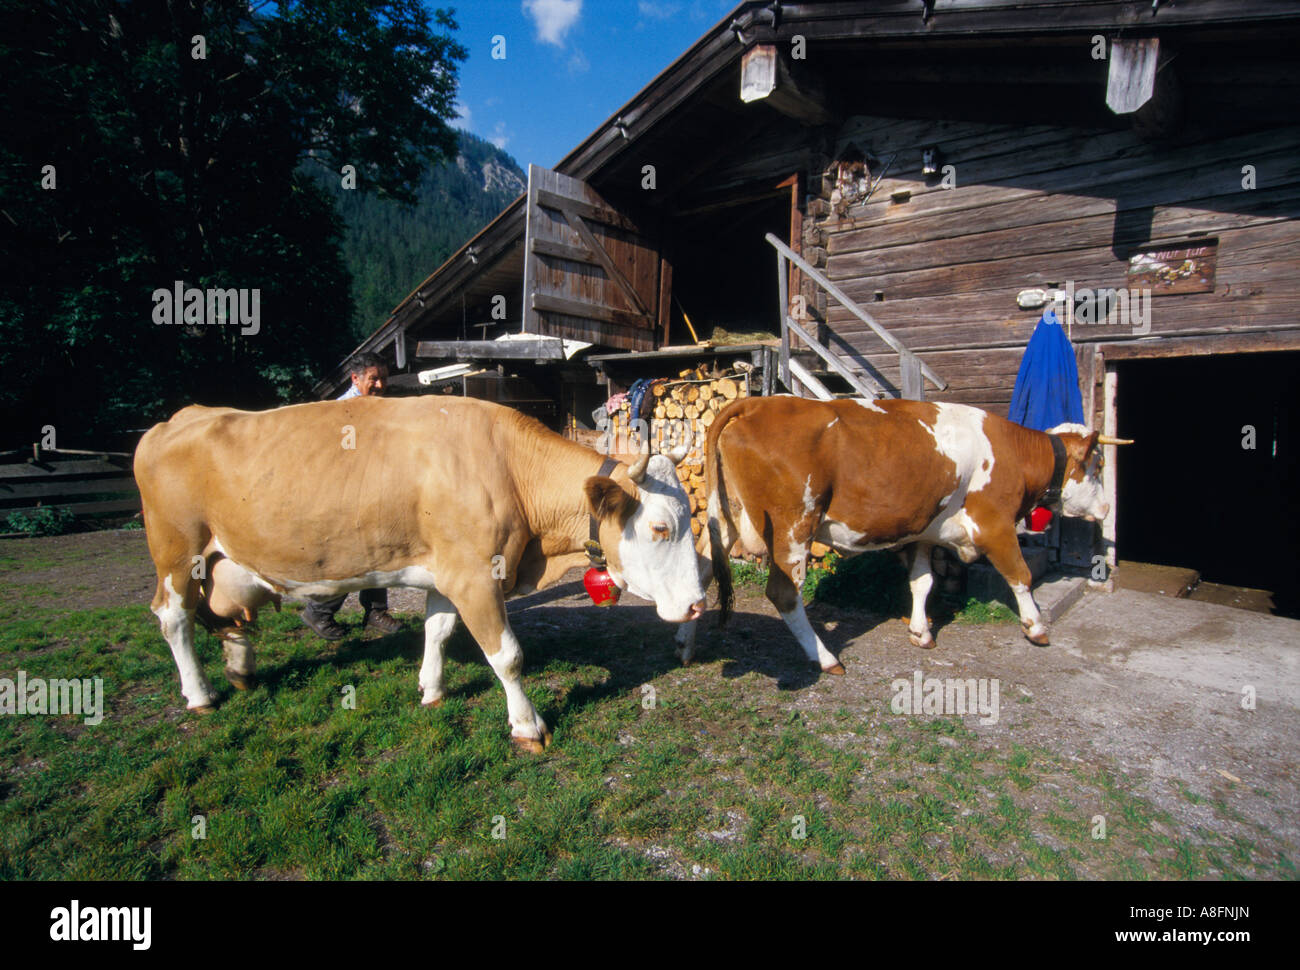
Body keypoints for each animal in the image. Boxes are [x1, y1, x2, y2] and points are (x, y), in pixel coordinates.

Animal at [137, 392, 707, 748]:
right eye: (659, 527)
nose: (699, 605)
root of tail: (178, 418)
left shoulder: (447, 571)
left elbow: (437, 631)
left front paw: (432, 691)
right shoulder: (476, 575)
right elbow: (508, 657)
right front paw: (528, 728)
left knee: (228, 619)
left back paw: (240, 669)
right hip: (177, 552)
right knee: (174, 618)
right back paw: (199, 695)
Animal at [676, 397, 1123, 670]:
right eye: (1097, 466)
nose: (1106, 509)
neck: (1012, 451)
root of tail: (759, 401)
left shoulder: (923, 531)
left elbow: (922, 582)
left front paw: (921, 631)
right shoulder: (993, 524)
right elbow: (1020, 576)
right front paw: (1036, 628)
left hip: (727, 516)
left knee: (700, 571)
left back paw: (684, 647)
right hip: (793, 525)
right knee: (784, 593)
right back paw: (825, 658)